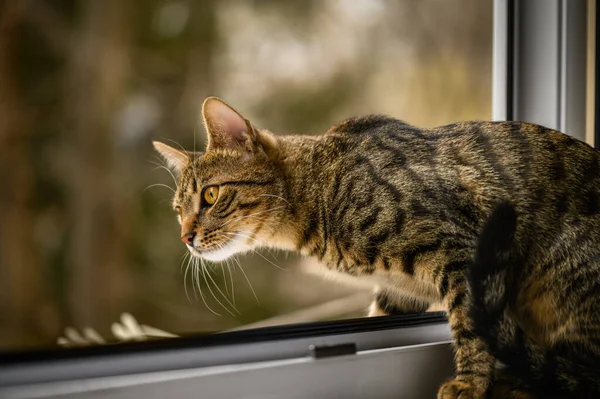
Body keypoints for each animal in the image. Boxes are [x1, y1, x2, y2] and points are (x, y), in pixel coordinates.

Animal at [154, 97, 600, 399]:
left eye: (210, 196)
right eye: (177, 211)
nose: (185, 237)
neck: (321, 188)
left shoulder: (462, 250)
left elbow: (470, 323)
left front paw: (471, 382)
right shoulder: (397, 293)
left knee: (577, 369)